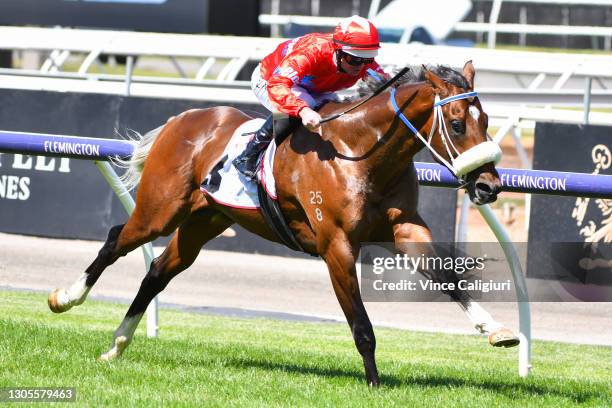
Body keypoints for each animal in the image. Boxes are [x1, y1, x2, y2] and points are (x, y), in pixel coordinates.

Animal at [47, 61, 520, 386]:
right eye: (456, 124)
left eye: (486, 121)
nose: (489, 186)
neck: (362, 152)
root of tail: (182, 119)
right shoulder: (336, 244)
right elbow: (361, 325)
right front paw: (374, 383)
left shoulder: (405, 230)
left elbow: (447, 277)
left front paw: (497, 330)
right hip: (160, 211)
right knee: (115, 241)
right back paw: (65, 298)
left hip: (205, 220)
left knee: (158, 272)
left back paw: (117, 345)